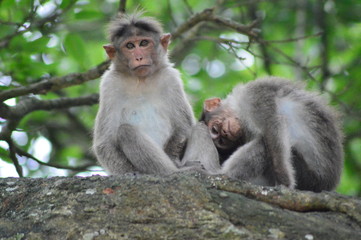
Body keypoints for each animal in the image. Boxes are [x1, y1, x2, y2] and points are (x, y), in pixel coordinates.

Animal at [93, 11, 217, 174]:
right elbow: (104, 142)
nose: (139, 57)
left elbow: (183, 126)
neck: (141, 80)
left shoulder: (171, 79)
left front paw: (173, 158)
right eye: (130, 46)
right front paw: (129, 172)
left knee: (199, 129)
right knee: (126, 131)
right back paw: (174, 171)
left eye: (144, 43)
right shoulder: (110, 85)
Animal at [200, 78, 344, 192]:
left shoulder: (252, 96)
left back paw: (224, 174)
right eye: (221, 141)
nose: (224, 134)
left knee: (265, 144)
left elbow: (272, 126)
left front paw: (285, 184)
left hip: (306, 177)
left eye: (215, 129)